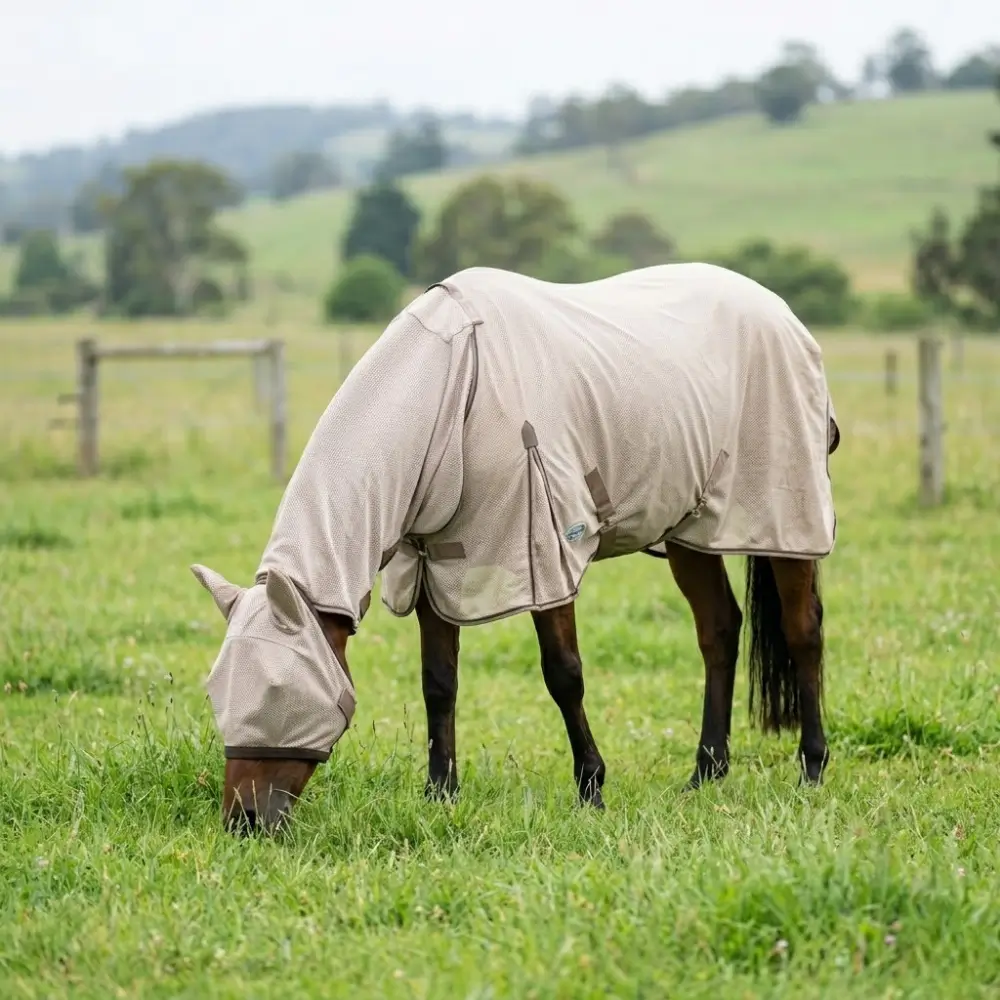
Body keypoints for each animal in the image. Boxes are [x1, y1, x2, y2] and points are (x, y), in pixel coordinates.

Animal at [191, 262, 840, 834]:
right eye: (217, 690)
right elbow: (438, 682)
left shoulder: (544, 549)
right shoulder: (432, 565)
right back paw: (706, 773)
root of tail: (783, 314)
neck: (454, 391)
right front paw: (440, 793)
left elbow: (564, 674)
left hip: (786, 519)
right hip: (691, 528)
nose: (243, 821)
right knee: (719, 630)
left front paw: (591, 788)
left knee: (802, 631)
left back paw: (811, 768)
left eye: (278, 689)